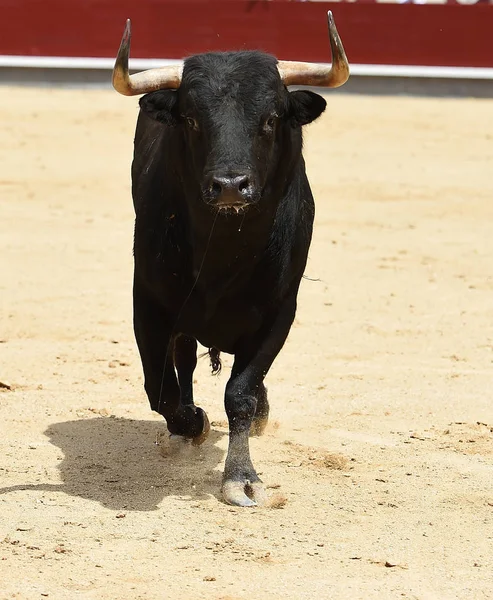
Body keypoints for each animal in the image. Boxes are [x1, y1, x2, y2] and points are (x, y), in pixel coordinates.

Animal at [113, 18, 348, 506]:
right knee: (182, 364)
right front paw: (192, 423)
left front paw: (241, 476)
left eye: (271, 119)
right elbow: (161, 389)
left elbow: (240, 393)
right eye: (191, 118)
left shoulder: (279, 312)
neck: (224, 252)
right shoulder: (149, 303)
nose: (229, 186)